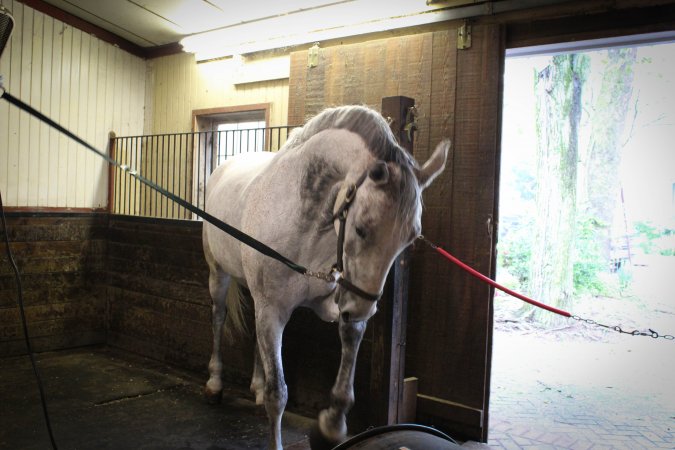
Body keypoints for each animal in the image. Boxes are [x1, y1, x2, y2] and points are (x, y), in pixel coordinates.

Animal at [203, 103, 452, 448]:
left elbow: (346, 365)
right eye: (361, 229)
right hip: (219, 274)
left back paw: (255, 385)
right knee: (217, 318)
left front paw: (331, 424)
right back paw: (214, 384)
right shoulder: (273, 311)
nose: (362, 308)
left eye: (411, 239)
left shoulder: (338, 299)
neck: (304, 225)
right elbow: (278, 394)